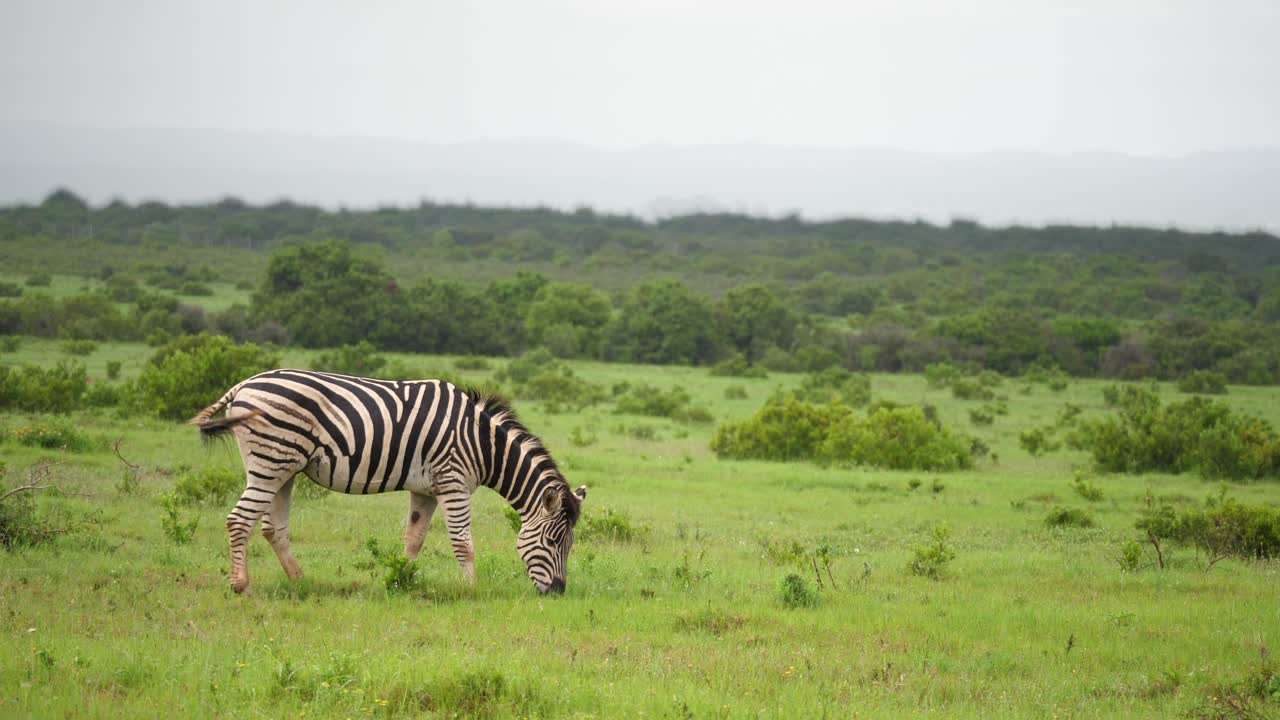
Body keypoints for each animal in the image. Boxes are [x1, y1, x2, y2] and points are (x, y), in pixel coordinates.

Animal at [189, 369, 586, 595]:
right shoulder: (454, 482)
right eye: (553, 542)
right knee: (239, 520)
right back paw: (241, 586)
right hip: (270, 461)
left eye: (569, 545)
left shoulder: (426, 489)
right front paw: (472, 590)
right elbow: (463, 543)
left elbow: (414, 539)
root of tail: (244, 384)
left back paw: (301, 581)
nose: (559, 592)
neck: (483, 443)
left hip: (284, 468)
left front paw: (401, 581)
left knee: (273, 528)